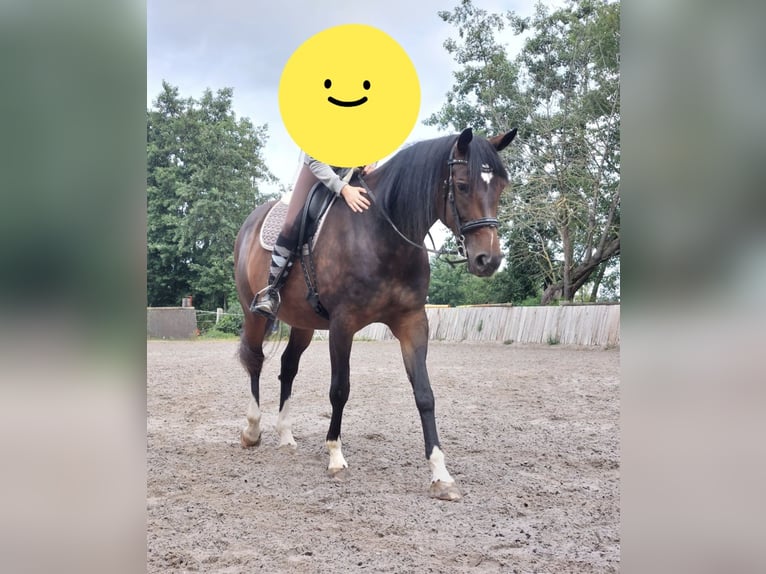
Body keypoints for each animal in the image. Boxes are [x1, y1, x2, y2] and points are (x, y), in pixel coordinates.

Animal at [234, 127, 517, 501]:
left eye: (500, 186)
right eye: (461, 185)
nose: (489, 259)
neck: (381, 235)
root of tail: (251, 222)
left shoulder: (412, 322)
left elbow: (425, 394)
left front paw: (440, 474)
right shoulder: (343, 325)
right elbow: (340, 389)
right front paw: (335, 456)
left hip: (303, 324)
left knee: (287, 368)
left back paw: (285, 435)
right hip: (254, 313)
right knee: (255, 361)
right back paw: (252, 431)